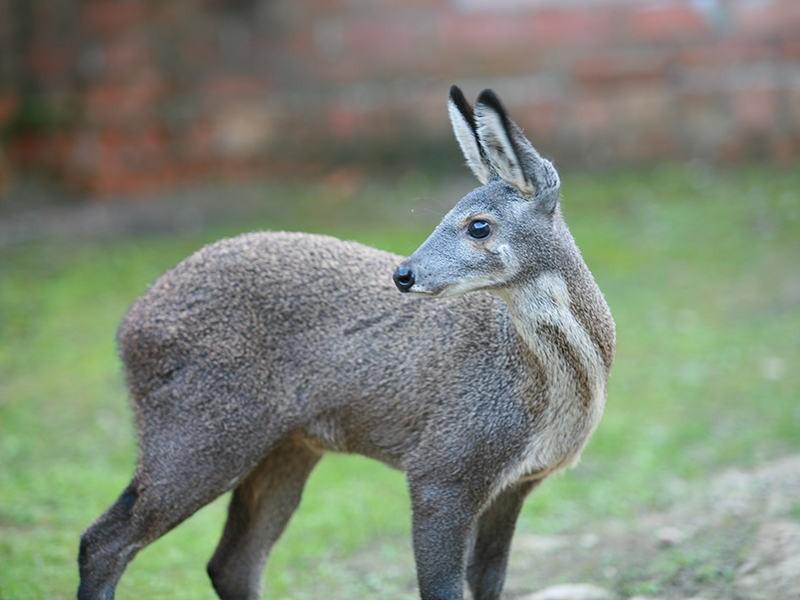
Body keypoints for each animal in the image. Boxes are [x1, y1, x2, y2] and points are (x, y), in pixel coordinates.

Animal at [78, 85, 616, 600]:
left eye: (478, 224)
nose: (403, 274)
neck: (542, 394)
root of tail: (129, 327)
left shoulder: (515, 485)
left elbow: (488, 584)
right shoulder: (440, 469)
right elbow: (442, 589)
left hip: (283, 447)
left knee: (230, 562)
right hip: (199, 432)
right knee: (103, 542)